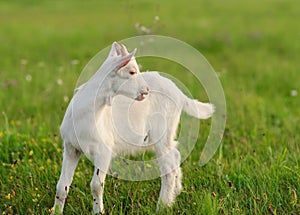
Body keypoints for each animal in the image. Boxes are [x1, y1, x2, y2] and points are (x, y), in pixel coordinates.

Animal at [52, 42, 214, 213]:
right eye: (132, 72)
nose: (146, 90)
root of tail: (179, 93)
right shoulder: (71, 148)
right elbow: (62, 186)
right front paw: (56, 212)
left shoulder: (104, 150)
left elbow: (96, 185)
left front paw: (99, 212)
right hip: (167, 133)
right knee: (175, 155)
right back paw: (175, 194)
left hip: (162, 130)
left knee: (168, 164)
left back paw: (162, 206)